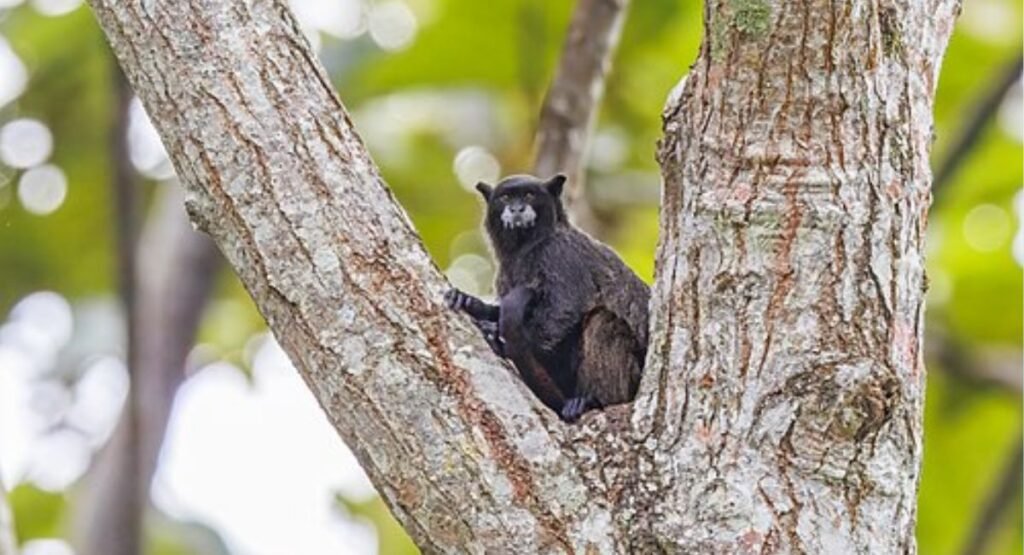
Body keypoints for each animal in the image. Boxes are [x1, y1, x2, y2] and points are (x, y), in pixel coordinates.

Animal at [445, 173, 649, 422]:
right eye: (506, 198)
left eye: (529, 195)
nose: (517, 208)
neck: (527, 248)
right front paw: (471, 303)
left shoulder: (560, 253)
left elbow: (564, 307)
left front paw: (498, 336)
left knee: (602, 322)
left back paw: (590, 401)